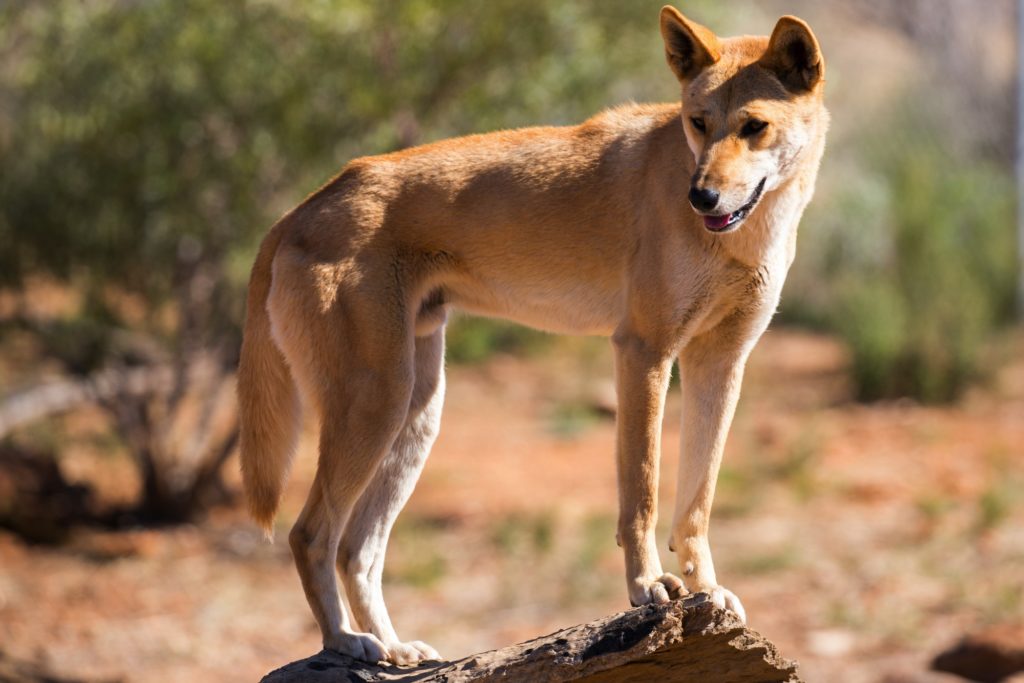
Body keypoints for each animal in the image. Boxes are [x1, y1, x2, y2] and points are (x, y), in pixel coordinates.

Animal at [239, 3, 831, 667]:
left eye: (753, 126)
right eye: (698, 123)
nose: (701, 195)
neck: (744, 234)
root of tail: (299, 210)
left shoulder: (720, 361)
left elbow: (696, 503)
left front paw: (707, 590)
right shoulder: (644, 351)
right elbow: (643, 494)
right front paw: (647, 588)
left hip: (416, 412)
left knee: (357, 549)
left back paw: (394, 648)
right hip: (376, 402)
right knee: (311, 533)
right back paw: (347, 642)